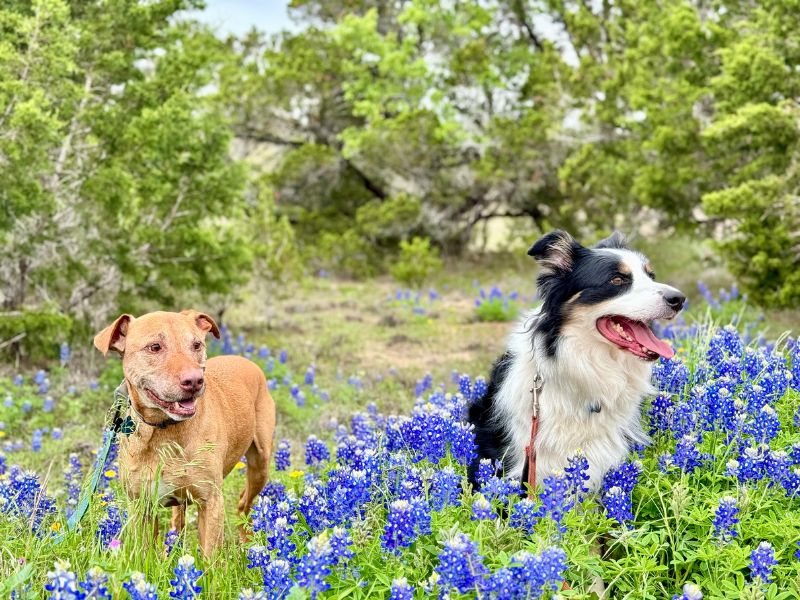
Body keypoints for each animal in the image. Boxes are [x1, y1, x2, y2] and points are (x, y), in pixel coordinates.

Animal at [93, 310, 276, 556]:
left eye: (196, 344)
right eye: (155, 347)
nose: (194, 380)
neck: (163, 430)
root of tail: (243, 359)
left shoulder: (210, 502)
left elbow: (209, 559)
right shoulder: (141, 505)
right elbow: (145, 554)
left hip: (260, 464)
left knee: (243, 503)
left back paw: (247, 544)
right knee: (177, 519)